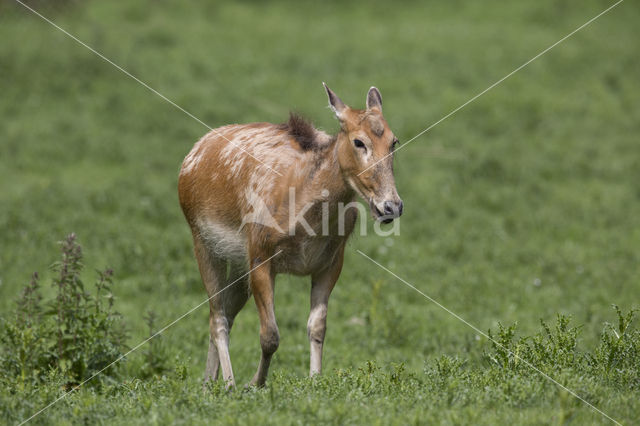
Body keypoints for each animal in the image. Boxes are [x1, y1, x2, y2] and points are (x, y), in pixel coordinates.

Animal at [178, 84, 402, 390]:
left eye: (394, 141)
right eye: (359, 142)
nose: (392, 206)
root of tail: (192, 155)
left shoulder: (332, 261)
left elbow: (318, 326)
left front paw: (315, 379)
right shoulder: (260, 252)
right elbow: (270, 335)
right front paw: (255, 383)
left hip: (237, 265)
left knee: (226, 312)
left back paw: (207, 383)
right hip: (202, 241)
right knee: (217, 317)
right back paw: (228, 383)